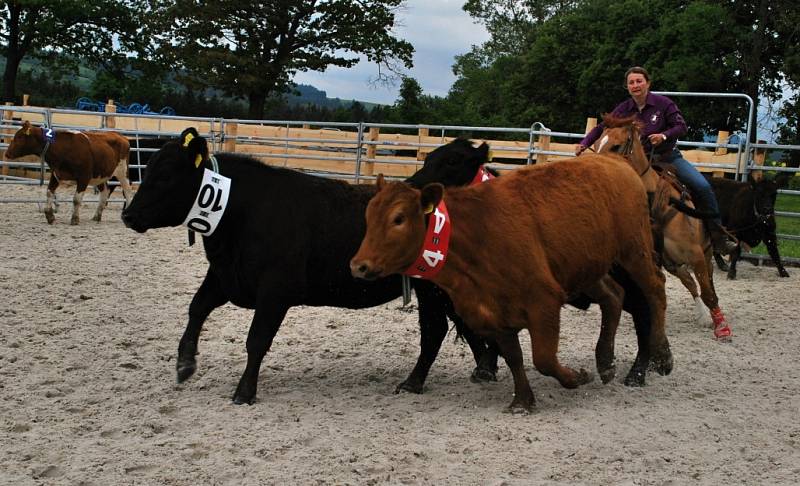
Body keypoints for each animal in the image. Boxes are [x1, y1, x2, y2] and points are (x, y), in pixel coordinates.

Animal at [5, 120, 133, 225]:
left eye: (19, 137)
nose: (7, 153)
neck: (63, 147)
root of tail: (121, 137)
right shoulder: (56, 175)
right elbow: (49, 192)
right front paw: (49, 215)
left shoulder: (84, 177)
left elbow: (76, 199)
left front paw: (75, 219)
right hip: (100, 175)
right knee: (105, 192)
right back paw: (97, 216)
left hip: (123, 172)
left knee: (127, 191)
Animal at [120, 127, 494, 404]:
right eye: (148, 169)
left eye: (166, 175)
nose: (128, 215)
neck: (244, 211)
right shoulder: (224, 277)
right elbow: (196, 308)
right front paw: (185, 363)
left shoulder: (275, 291)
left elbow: (256, 340)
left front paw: (244, 391)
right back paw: (481, 370)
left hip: (431, 288)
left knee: (435, 330)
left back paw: (416, 381)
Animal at [350, 157, 668, 414]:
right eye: (368, 216)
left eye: (398, 219)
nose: (358, 265)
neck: (475, 237)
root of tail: (616, 161)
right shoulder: (492, 315)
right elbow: (514, 357)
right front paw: (522, 401)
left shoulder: (544, 302)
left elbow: (543, 358)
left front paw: (575, 377)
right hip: (586, 268)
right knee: (614, 296)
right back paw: (605, 360)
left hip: (635, 249)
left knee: (655, 291)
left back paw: (658, 354)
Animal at [592, 115, 732, 342]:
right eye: (596, 144)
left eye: (616, 146)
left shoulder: (696, 255)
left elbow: (708, 293)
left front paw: (722, 329)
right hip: (672, 263)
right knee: (690, 283)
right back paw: (702, 316)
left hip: (705, 252)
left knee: (707, 285)